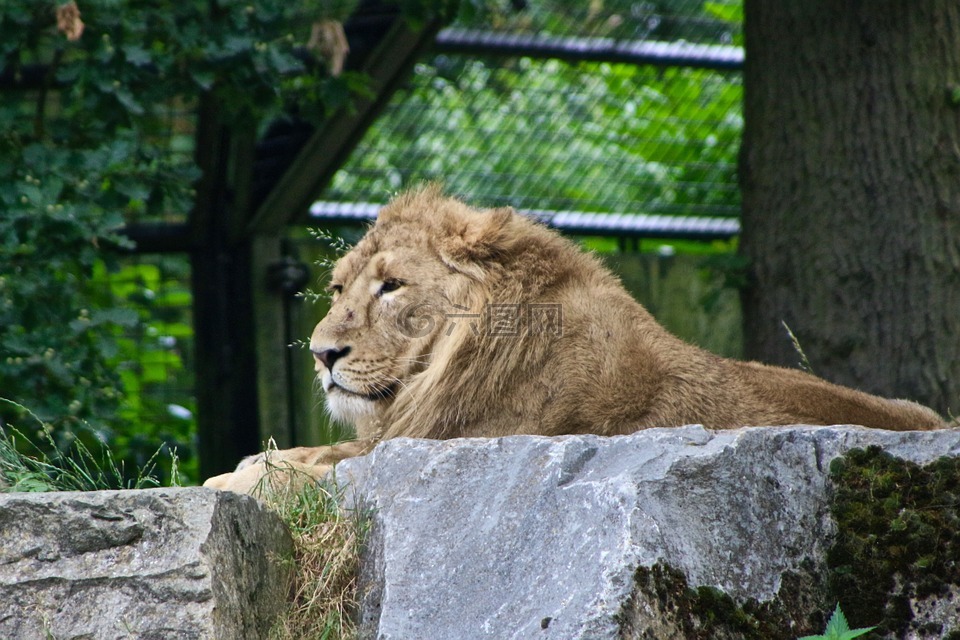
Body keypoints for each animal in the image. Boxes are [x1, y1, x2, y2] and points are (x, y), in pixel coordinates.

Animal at [202, 182, 944, 492]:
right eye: (337, 290)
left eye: (392, 287)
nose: (323, 353)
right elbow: (306, 452)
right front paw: (241, 466)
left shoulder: (454, 444)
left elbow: (311, 471)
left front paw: (237, 478)